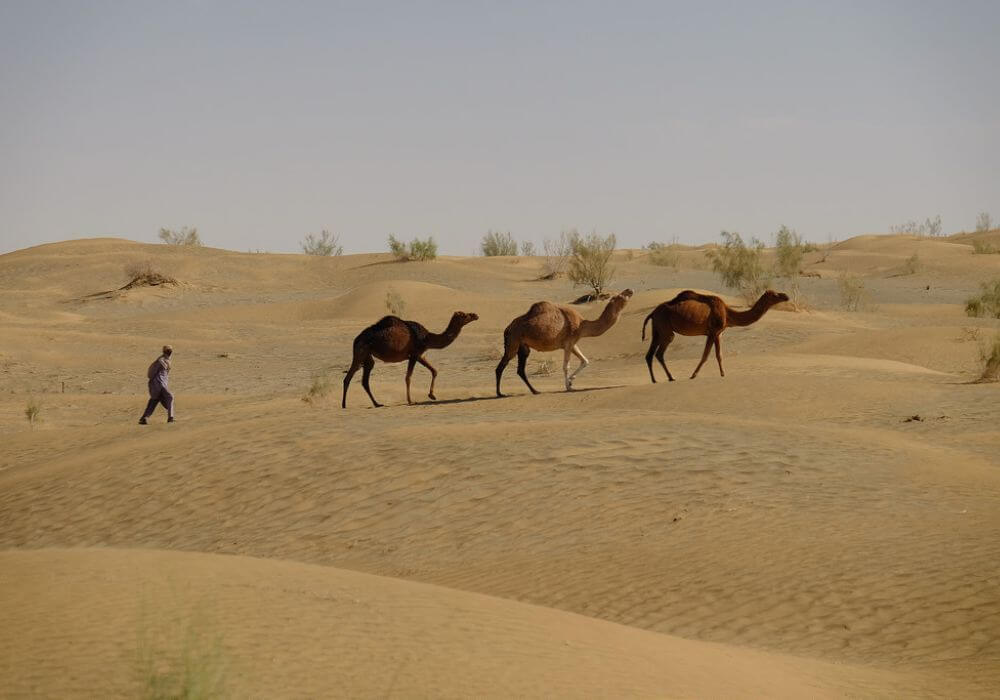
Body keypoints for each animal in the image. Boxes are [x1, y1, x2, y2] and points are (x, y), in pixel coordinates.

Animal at [344, 308, 480, 408]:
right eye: (464, 315)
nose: (475, 315)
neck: (427, 338)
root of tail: (356, 339)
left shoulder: (419, 355)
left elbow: (434, 371)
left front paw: (432, 395)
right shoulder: (414, 355)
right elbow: (408, 377)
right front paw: (410, 401)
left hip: (368, 357)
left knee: (364, 380)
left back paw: (377, 404)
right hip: (361, 352)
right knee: (348, 377)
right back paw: (344, 405)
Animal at [494, 288, 632, 396]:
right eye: (619, 295)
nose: (630, 290)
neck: (582, 325)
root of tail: (508, 328)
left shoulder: (572, 343)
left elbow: (585, 361)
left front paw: (571, 381)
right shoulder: (568, 343)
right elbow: (566, 366)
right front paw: (568, 386)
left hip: (523, 347)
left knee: (520, 370)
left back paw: (535, 391)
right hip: (513, 342)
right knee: (501, 366)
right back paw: (500, 393)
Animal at [640, 288, 788, 380]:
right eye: (775, 295)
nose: (786, 296)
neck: (728, 313)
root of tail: (652, 313)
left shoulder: (719, 334)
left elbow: (719, 355)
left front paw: (723, 374)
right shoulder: (712, 332)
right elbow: (705, 356)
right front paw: (693, 375)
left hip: (657, 329)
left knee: (650, 354)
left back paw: (654, 380)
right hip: (666, 330)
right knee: (659, 353)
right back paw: (671, 377)